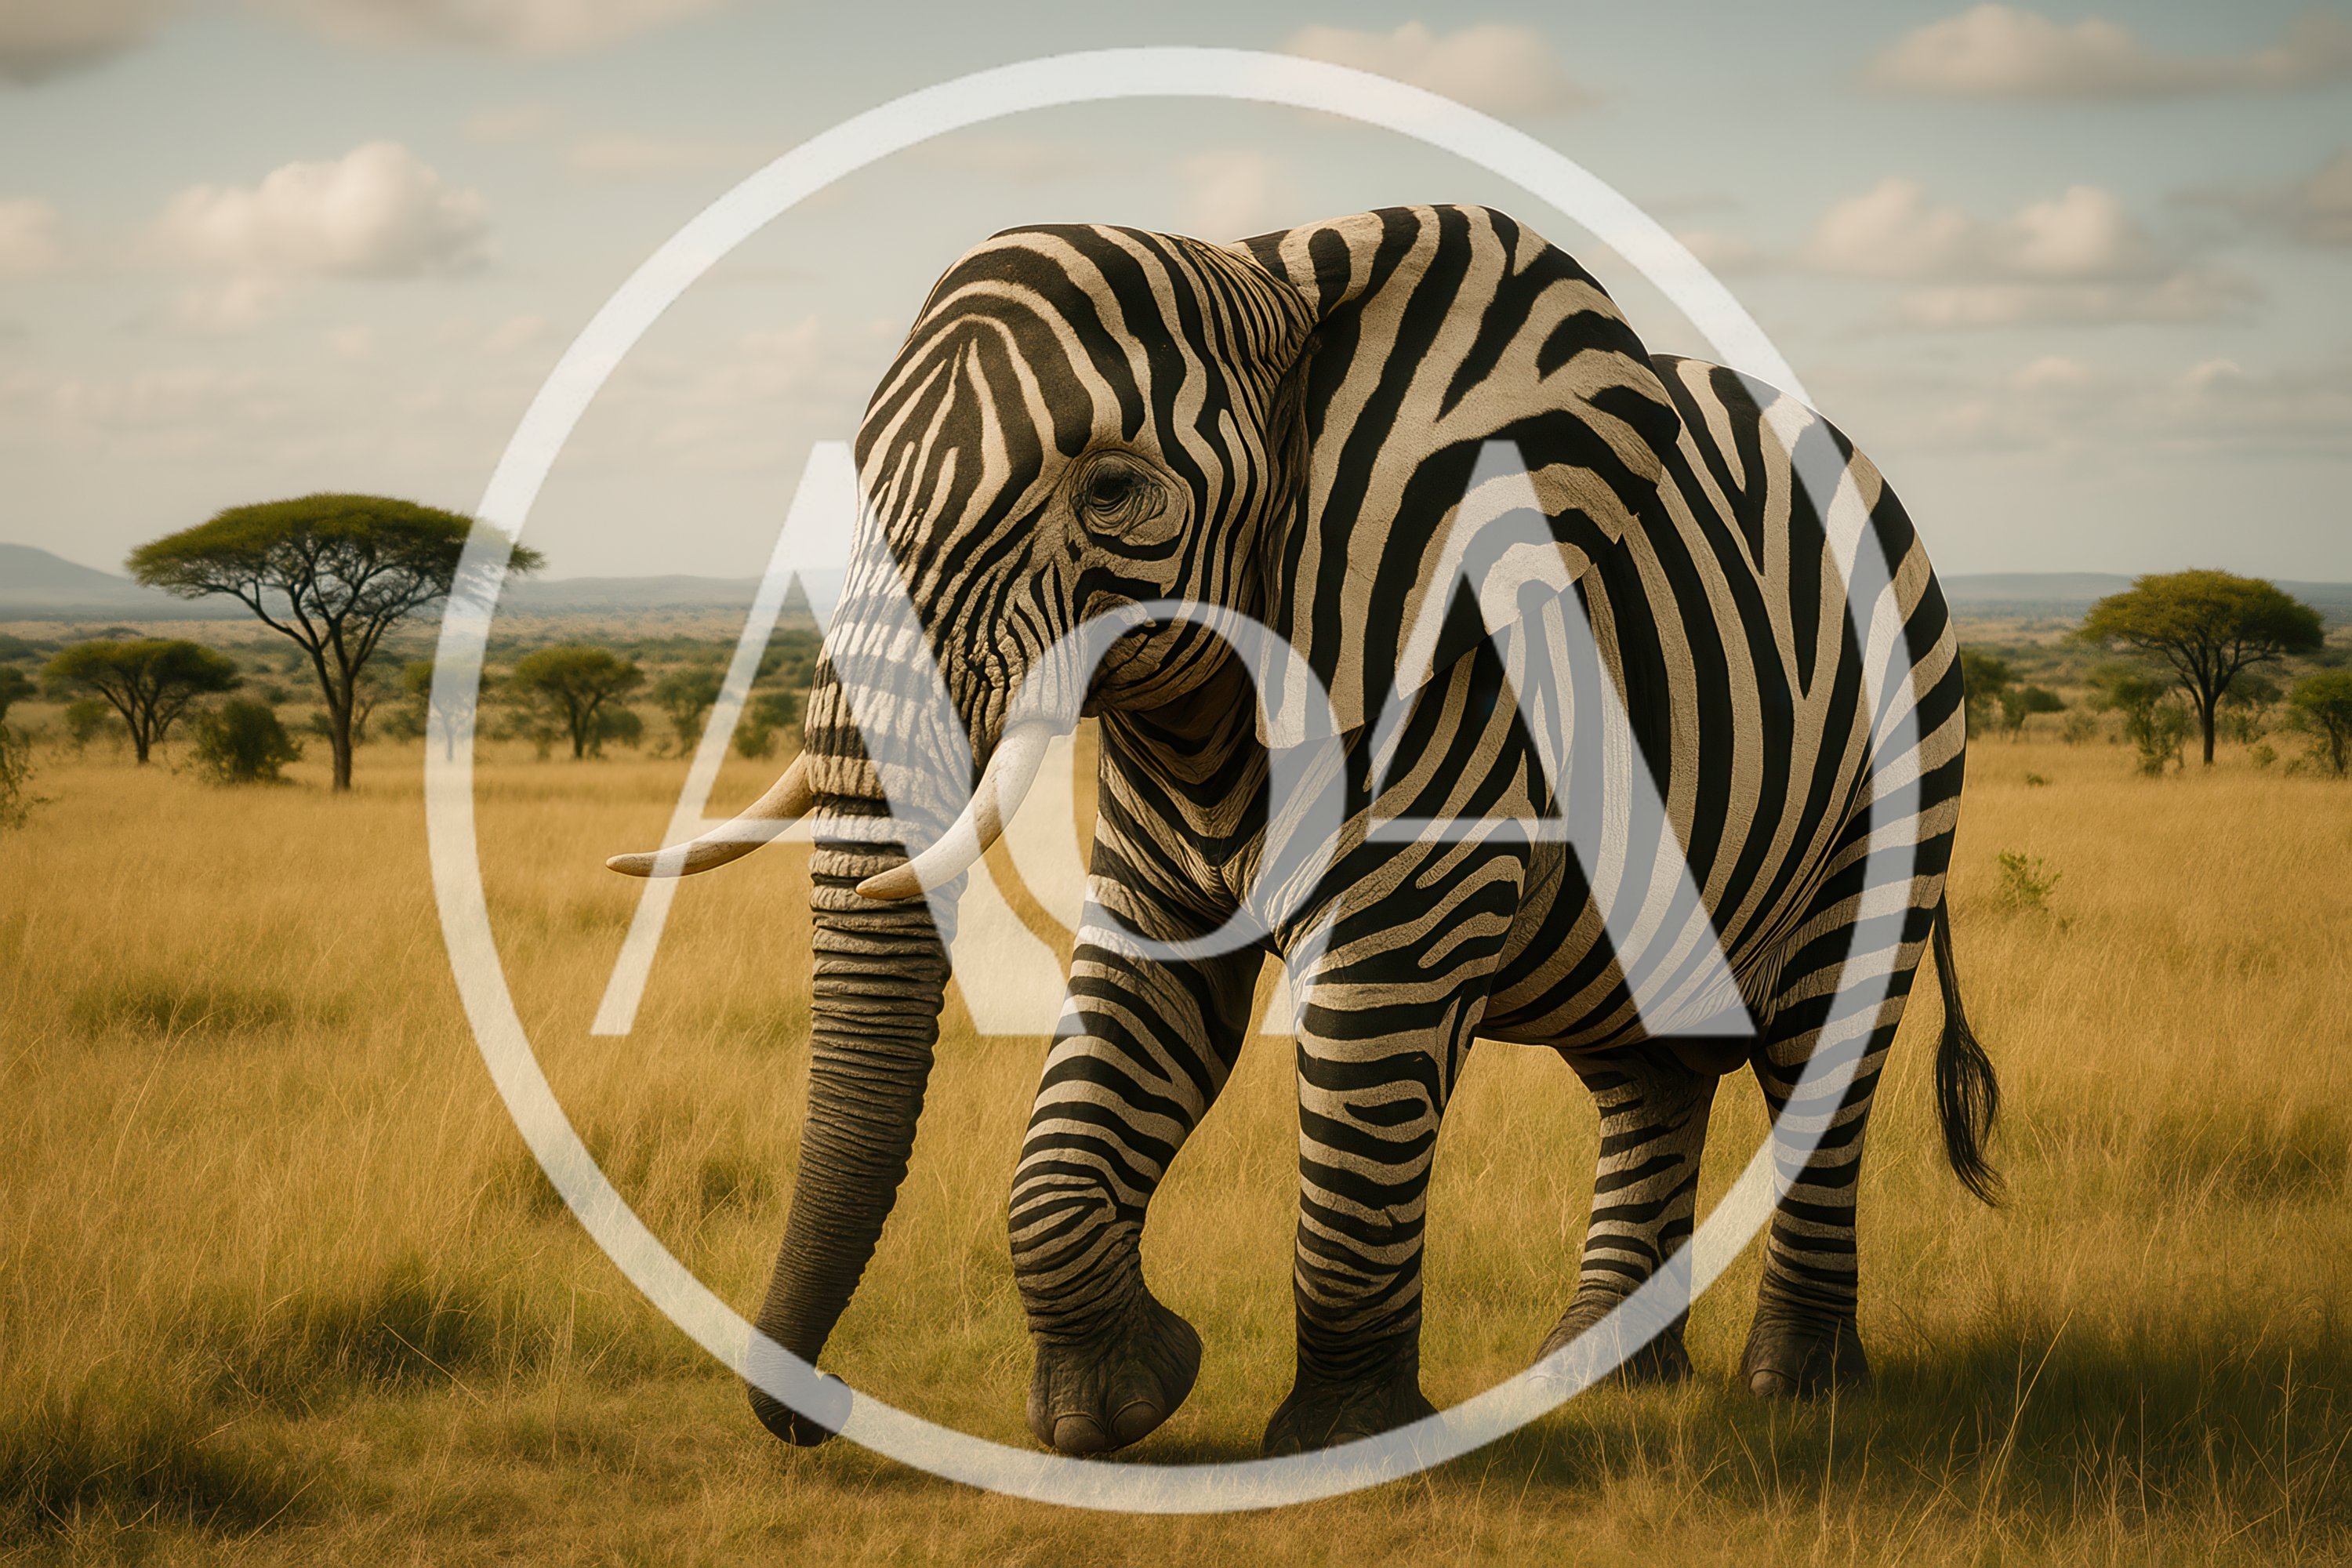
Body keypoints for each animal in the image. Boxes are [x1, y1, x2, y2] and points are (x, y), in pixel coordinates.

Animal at [608, 204, 1999, 1458]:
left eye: (1114, 492)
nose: (816, 1416)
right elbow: (1131, 1023)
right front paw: (1124, 1401)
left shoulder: (1453, 692)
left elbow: (1366, 1039)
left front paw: (1342, 1441)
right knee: (1648, 1070)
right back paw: (1595, 1378)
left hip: (1900, 764)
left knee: (1819, 1053)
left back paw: (1798, 1392)